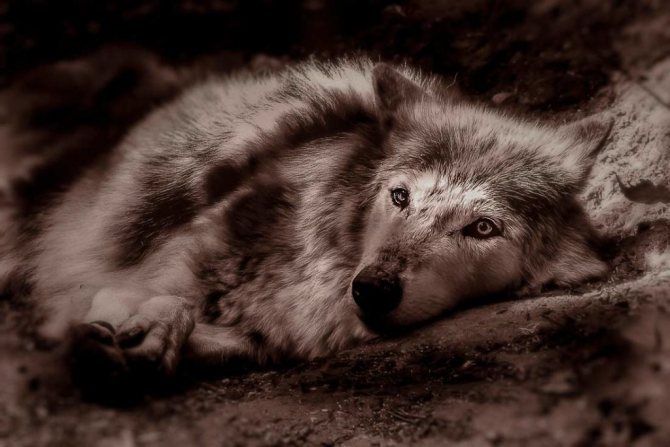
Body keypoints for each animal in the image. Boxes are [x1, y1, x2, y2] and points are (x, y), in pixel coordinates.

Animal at [0, 57, 611, 397]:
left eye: (482, 229)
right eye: (401, 196)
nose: (372, 288)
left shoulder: (273, 337)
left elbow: (225, 343)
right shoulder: (122, 269)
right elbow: (156, 299)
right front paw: (134, 334)